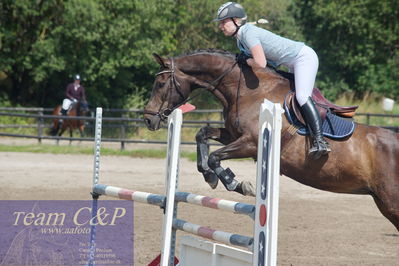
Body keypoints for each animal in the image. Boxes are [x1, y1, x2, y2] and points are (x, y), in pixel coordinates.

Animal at [144, 50, 399, 231]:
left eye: (160, 84)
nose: (148, 118)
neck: (250, 90)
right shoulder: (233, 135)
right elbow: (202, 134)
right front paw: (208, 175)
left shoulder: (251, 143)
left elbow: (216, 156)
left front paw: (237, 184)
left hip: (391, 202)